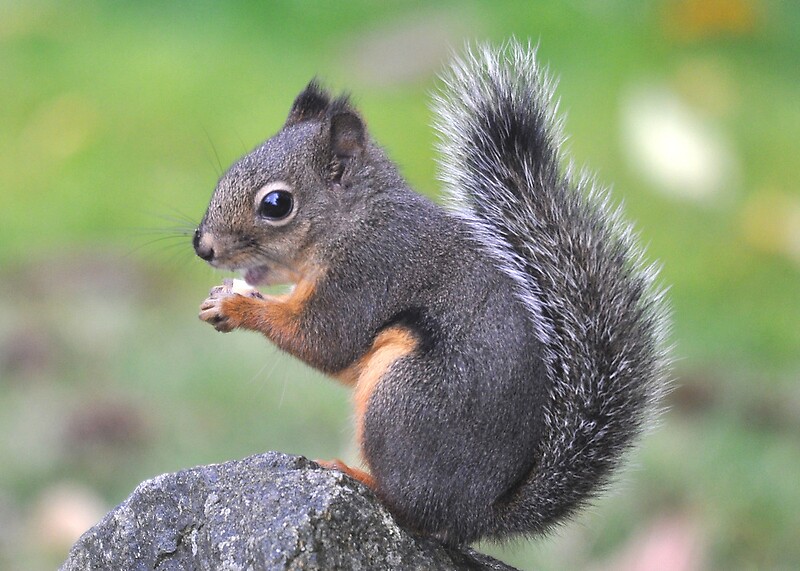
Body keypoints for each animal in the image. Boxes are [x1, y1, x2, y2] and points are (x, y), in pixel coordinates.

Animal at [194, 42, 668, 548]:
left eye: (276, 204)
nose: (202, 245)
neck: (355, 221)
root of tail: (478, 513)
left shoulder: (368, 272)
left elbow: (324, 340)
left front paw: (236, 305)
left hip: (403, 399)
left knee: (411, 508)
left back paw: (357, 476)